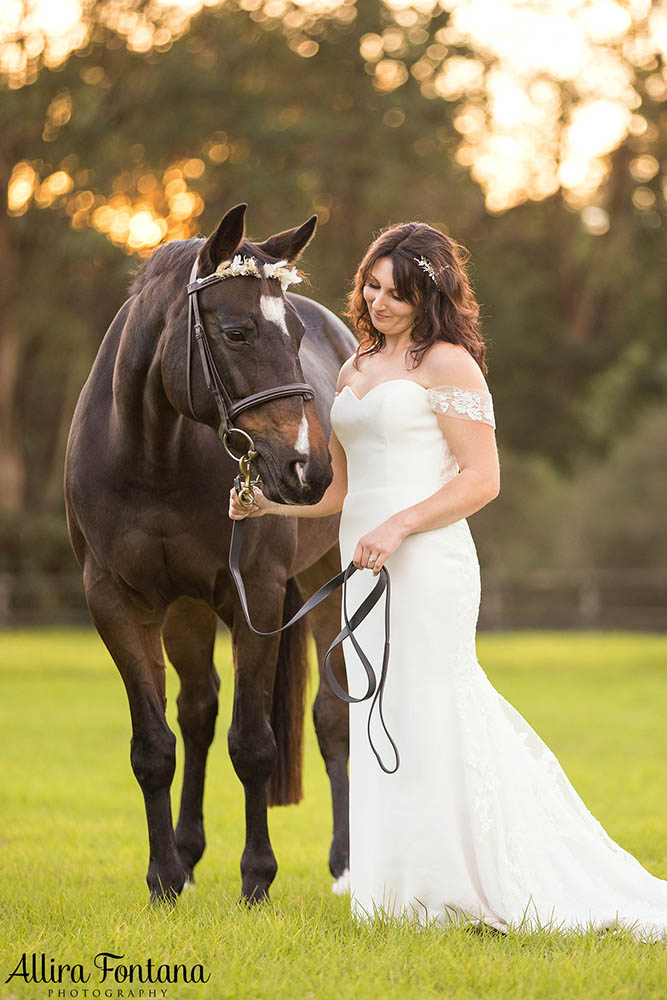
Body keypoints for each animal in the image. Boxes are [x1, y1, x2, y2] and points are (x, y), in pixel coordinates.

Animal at [64, 205, 354, 908]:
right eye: (236, 332)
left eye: (294, 332)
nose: (310, 469)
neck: (154, 455)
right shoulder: (118, 602)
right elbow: (154, 747)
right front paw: (165, 879)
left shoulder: (257, 594)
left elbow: (253, 745)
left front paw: (257, 877)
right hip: (186, 613)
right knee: (197, 710)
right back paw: (189, 854)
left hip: (326, 579)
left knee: (331, 718)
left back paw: (345, 866)